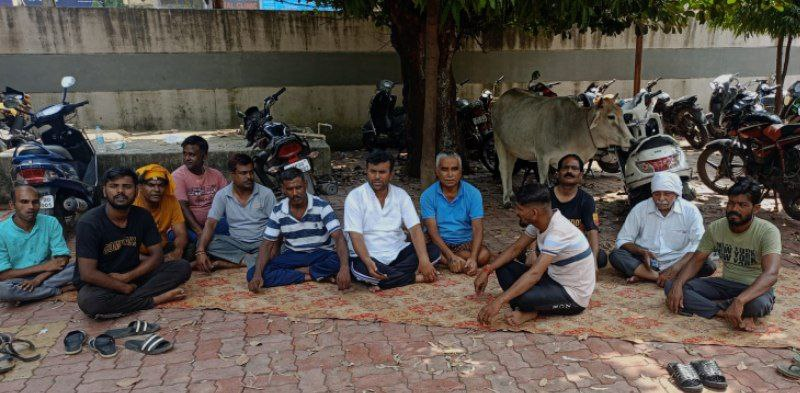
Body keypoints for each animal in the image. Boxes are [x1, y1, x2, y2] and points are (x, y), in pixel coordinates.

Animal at [494, 88, 632, 205]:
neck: (575, 126)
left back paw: (511, 193)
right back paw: (506, 199)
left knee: (510, 167)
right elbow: (543, 183)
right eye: (611, 116)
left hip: (512, 148)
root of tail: (500, 98)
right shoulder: (542, 157)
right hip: (499, 141)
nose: (632, 140)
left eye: (622, 114)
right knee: (503, 168)